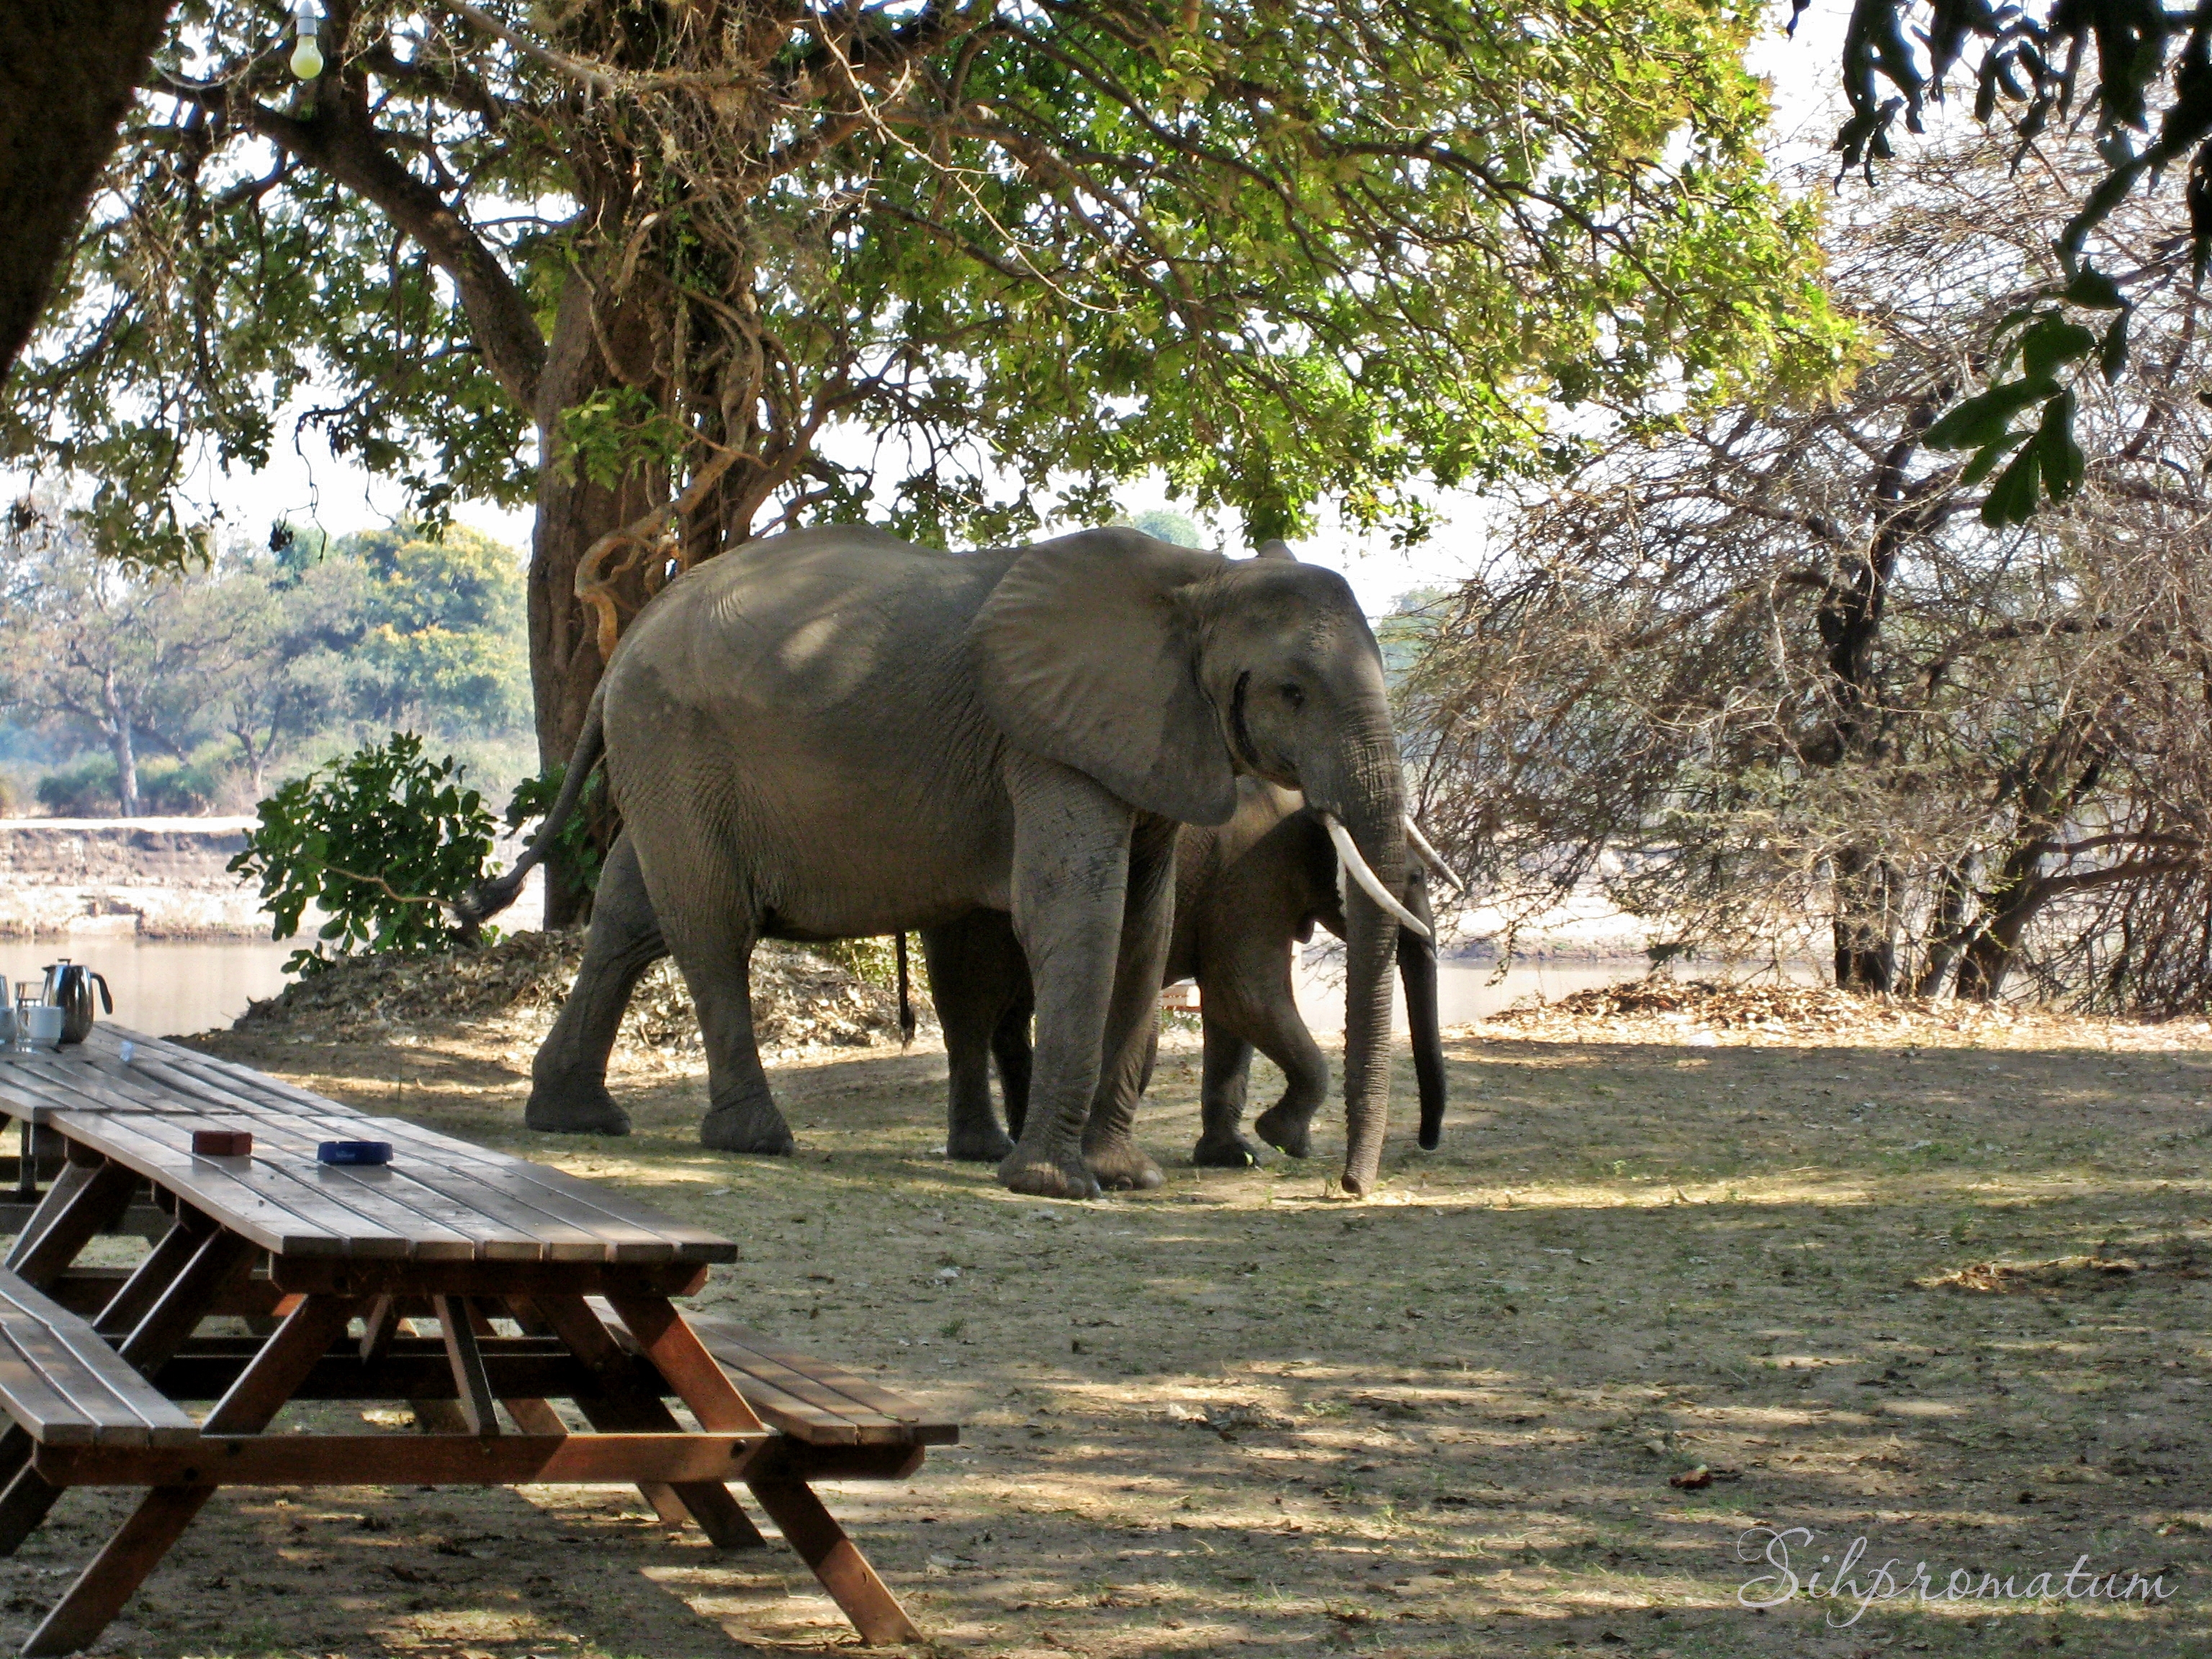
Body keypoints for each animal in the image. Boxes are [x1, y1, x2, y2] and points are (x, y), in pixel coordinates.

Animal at [929, 778, 1460, 1168]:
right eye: (1415, 878)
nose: (1428, 1141)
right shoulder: (1253, 873)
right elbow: (1245, 997)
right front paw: (1281, 1138)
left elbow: (1230, 1015)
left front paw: (1235, 1157)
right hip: (972, 908)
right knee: (972, 1007)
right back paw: (988, 1150)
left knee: (1006, 1016)